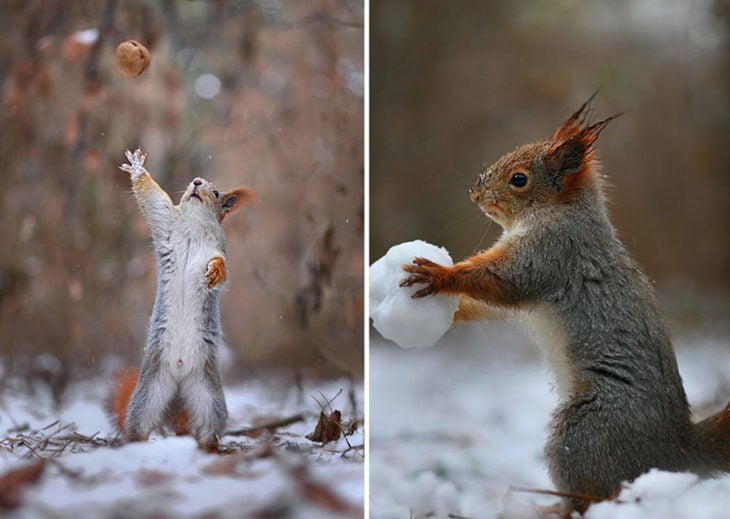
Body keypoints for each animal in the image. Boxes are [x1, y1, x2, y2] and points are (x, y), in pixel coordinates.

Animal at [106, 149, 256, 450]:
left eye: (217, 192)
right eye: (192, 183)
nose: (197, 182)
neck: (195, 225)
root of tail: (178, 377)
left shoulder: (218, 249)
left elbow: (223, 269)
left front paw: (215, 272)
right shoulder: (165, 223)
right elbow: (153, 200)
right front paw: (138, 169)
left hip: (207, 396)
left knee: (209, 427)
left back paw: (210, 448)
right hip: (149, 392)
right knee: (140, 425)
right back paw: (136, 444)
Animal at [398, 97, 728, 516]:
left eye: (519, 179)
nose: (475, 193)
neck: (561, 210)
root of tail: (677, 452)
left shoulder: (551, 252)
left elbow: (503, 281)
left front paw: (439, 275)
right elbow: (494, 305)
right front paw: (451, 312)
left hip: (585, 432)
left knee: (594, 494)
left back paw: (554, 507)